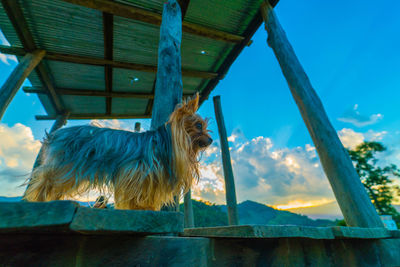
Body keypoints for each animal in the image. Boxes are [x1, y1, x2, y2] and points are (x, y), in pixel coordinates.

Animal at [22, 94, 212, 211]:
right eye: (198, 126)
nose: (210, 140)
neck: (165, 143)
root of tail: (55, 134)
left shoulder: (151, 176)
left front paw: (147, 207)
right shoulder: (136, 172)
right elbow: (135, 194)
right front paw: (138, 207)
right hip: (65, 166)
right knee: (46, 180)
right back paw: (39, 200)